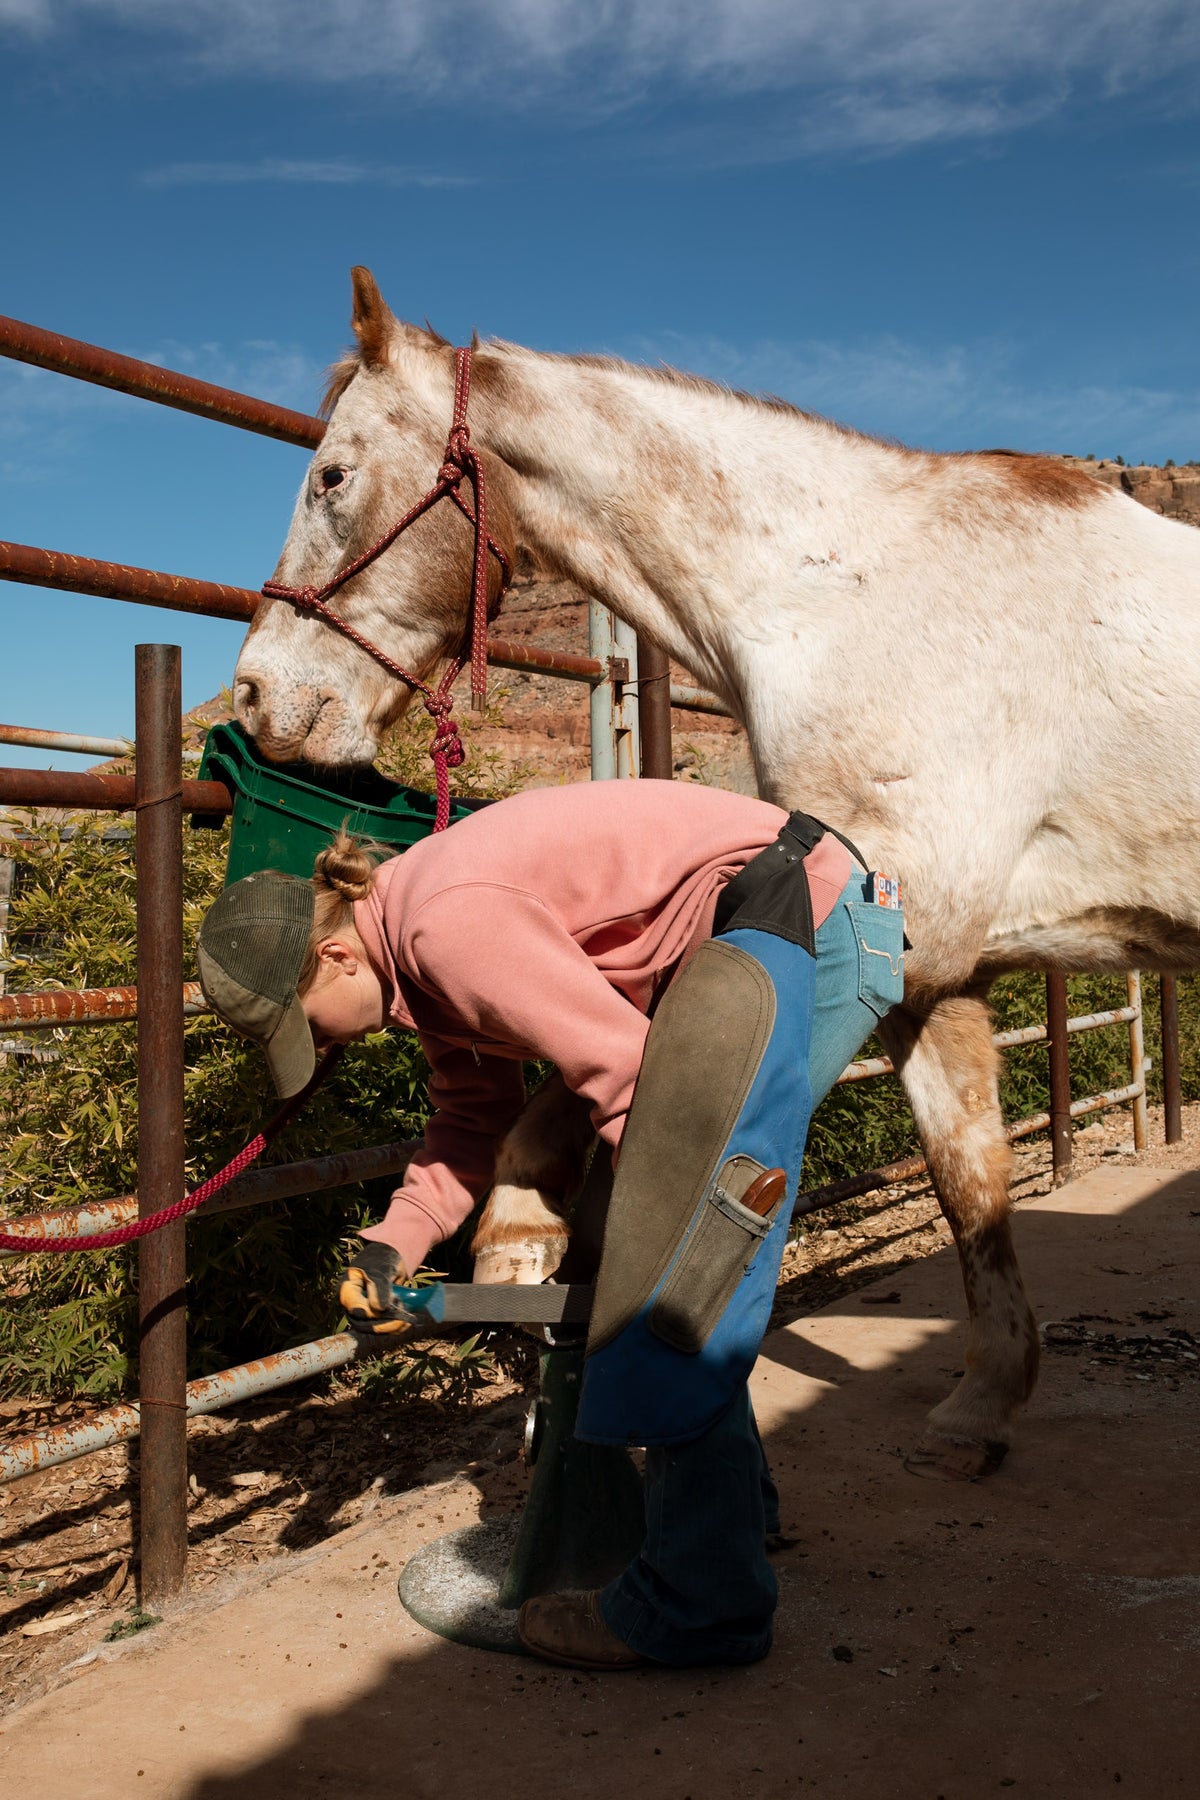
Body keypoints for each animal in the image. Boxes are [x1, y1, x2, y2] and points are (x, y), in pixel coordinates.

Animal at [232, 266, 1200, 1480]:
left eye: (332, 475)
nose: (257, 694)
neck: (848, 596)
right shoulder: (931, 970)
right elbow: (967, 1175)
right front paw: (981, 1405)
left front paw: (520, 1249)